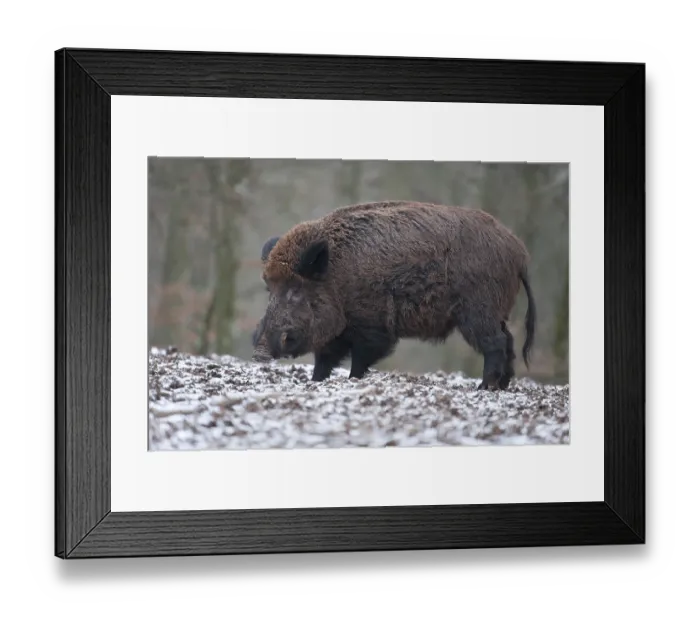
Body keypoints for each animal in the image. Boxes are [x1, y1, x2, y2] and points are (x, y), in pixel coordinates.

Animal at [252, 200, 536, 390]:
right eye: (269, 289)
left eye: (296, 290)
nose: (259, 353)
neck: (337, 279)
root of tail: (519, 253)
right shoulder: (337, 333)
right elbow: (324, 361)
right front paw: (315, 382)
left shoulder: (373, 326)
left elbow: (359, 360)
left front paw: (353, 381)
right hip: (497, 311)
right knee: (509, 340)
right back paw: (501, 387)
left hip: (478, 310)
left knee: (496, 343)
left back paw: (485, 388)